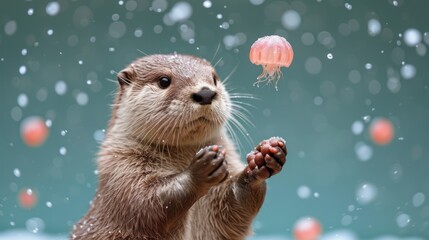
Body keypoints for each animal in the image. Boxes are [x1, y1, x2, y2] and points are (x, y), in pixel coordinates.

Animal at [72, 54, 288, 240]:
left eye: (214, 79)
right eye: (164, 81)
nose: (205, 93)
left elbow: (236, 209)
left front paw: (261, 159)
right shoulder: (120, 169)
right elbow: (146, 203)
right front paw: (199, 170)